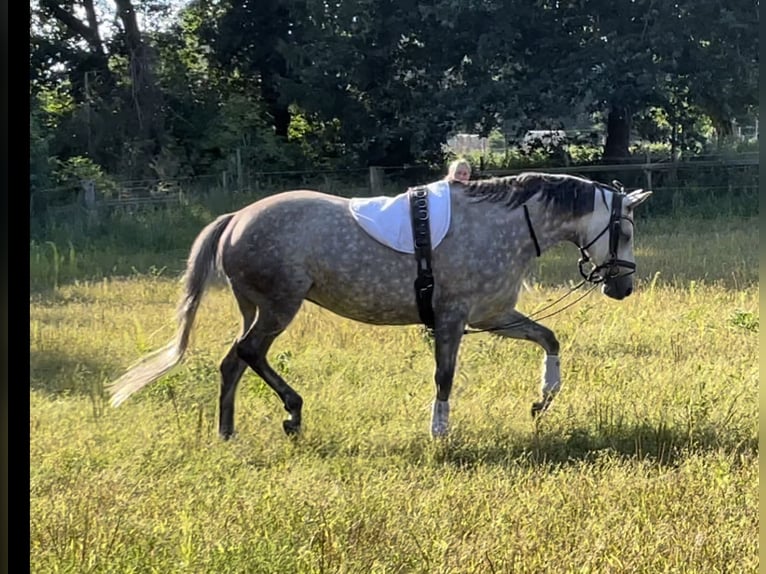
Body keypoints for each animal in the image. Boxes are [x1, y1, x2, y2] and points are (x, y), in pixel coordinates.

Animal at [108, 173, 656, 438]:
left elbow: (548, 338)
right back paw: (292, 412)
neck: (505, 225)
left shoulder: (492, 316)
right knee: (249, 353)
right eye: (626, 230)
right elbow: (444, 377)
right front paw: (439, 430)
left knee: (234, 361)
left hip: (257, 308)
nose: (622, 287)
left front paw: (543, 398)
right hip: (280, 306)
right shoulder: (454, 319)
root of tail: (237, 217)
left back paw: (229, 431)